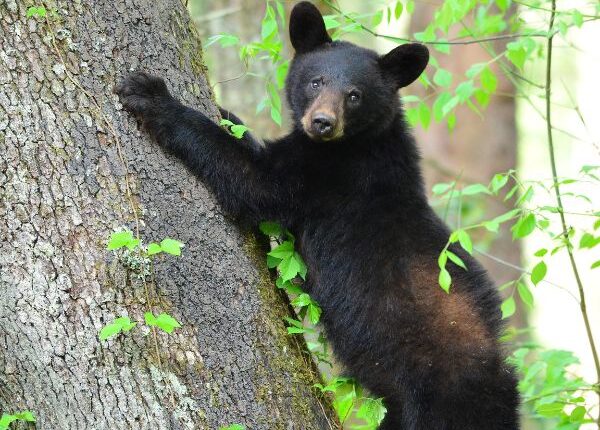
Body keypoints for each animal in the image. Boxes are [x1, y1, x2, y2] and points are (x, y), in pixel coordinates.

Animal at [115, 1, 516, 428]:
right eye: (316, 82)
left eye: (354, 95)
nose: (323, 122)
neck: (358, 142)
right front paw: (227, 113)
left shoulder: (325, 174)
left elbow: (252, 180)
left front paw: (150, 95)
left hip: (440, 396)